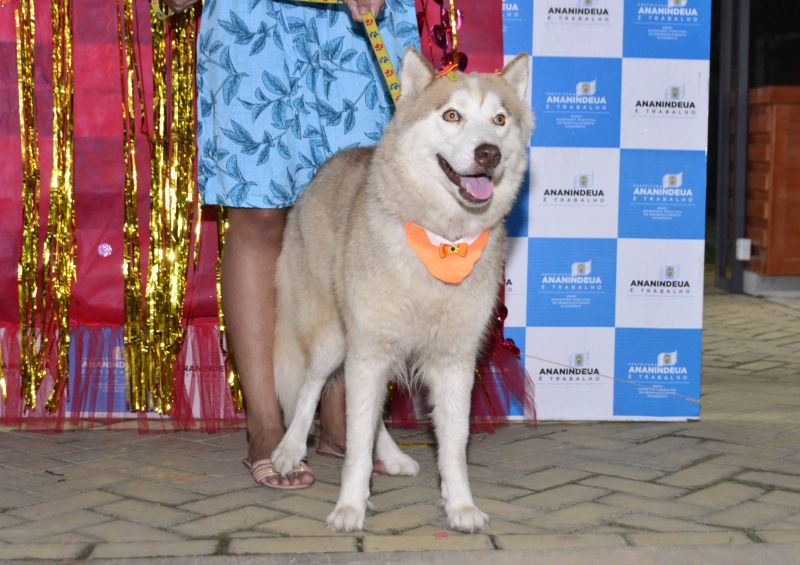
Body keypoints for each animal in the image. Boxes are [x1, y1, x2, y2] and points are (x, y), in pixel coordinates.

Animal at [272, 49, 536, 532]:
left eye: (500, 119)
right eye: (451, 115)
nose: (487, 153)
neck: (444, 241)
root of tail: (329, 165)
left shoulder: (453, 361)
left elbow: (453, 445)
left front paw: (460, 506)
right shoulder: (369, 349)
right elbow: (355, 445)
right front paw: (350, 507)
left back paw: (392, 457)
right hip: (335, 338)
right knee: (310, 388)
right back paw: (288, 449)